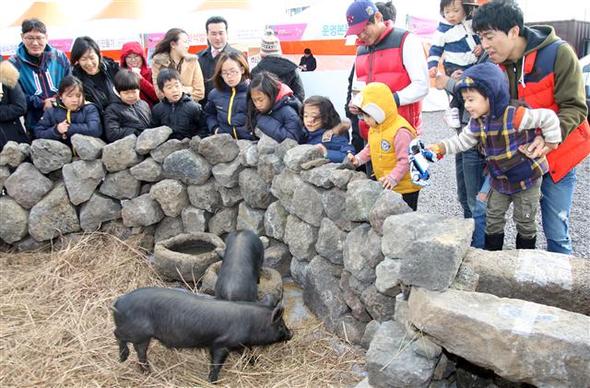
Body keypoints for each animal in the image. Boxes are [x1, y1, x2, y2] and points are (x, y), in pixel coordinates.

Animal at [111, 288, 294, 382]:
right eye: (281, 325)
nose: (291, 333)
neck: (252, 323)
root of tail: (118, 302)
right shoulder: (221, 344)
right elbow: (217, 362)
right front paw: (212, 381)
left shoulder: (238, 343)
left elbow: (248, 353)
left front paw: (255, 363)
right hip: (136, 331)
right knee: (118, 334)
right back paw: (123, 358)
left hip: (142, 337)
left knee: (140, 351)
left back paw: (147, 372)